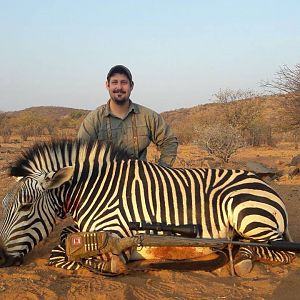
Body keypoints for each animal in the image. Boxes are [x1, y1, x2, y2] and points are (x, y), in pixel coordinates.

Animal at [0, 139, 296, 276]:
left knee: (279, 251)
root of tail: (265, 185)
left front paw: (110, 263)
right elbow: (64, 238)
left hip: (247, 215)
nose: (1, 258)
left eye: (25, 207)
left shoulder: (112, 228)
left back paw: (243, 258)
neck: (94, 189)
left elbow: (61, 253)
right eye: (4, 205)